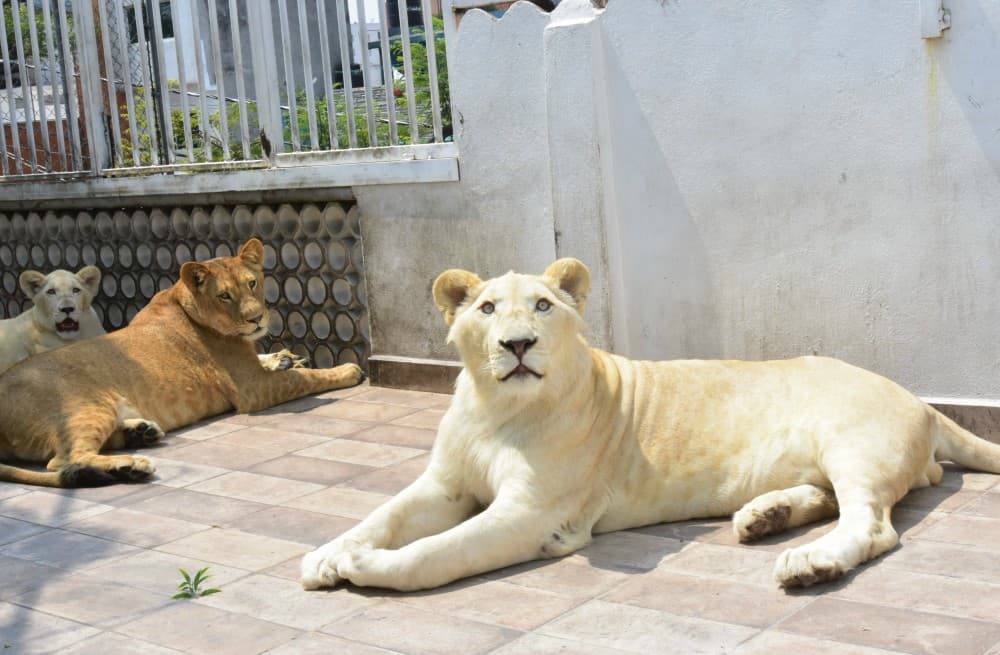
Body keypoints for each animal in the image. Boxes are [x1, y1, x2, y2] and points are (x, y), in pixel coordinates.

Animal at [0, 239, 363, 488]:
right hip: (86, 406)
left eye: (252, 283)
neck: (185, 302)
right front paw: (347, 370)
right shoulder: (253, 389)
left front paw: (287, 358)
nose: (256, 319)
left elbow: (278, 362)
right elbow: (310, 379)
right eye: (224, 296)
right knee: (62, 460)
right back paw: (132, 464)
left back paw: (141, 433)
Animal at [301, 258, 1000, 591]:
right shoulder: (443, 486)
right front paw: (326, 555)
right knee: (829, 500)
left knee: (873, 526)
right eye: (487, 308)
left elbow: (435, 553)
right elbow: (381, 515)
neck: (497, 410)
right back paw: (763, 517)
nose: (518, 344)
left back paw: (811, 563)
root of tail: (923, 402)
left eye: (543, 306)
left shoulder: (530, 514)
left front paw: (365, 567)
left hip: (854, 446)